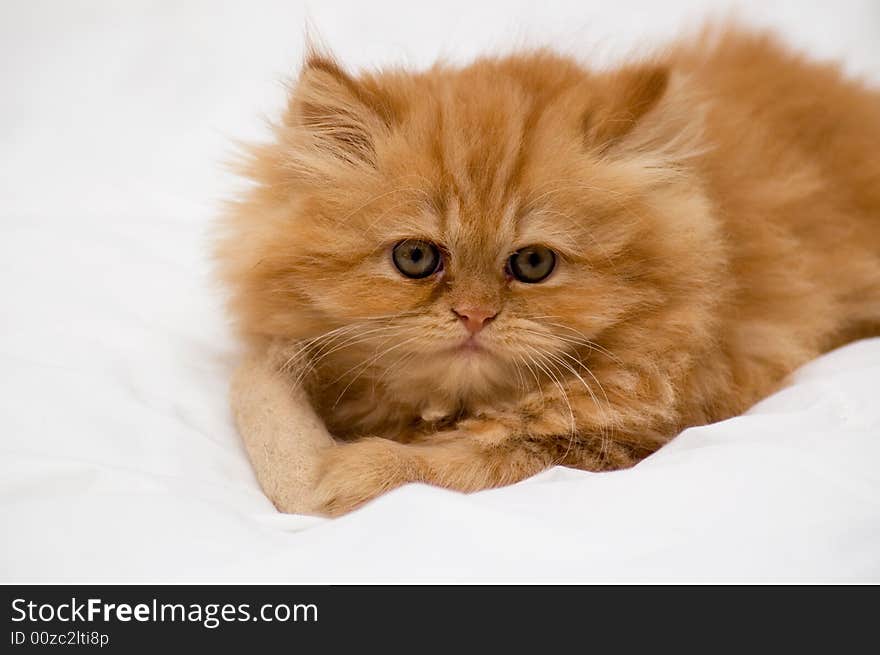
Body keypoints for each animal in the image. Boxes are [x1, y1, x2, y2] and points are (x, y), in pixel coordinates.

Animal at [217, 28, 880, 516]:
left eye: (534, 264)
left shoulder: (612, 442)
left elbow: (443, 466)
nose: (474, 315)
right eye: (416, 258)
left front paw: (344, 472)